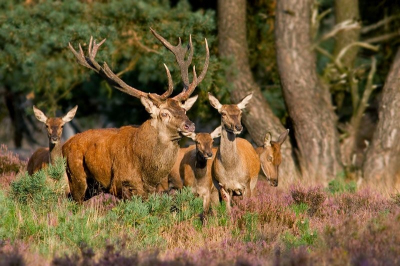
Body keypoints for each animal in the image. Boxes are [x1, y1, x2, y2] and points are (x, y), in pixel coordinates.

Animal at [63, 29, 209, 202]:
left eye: (184, 110)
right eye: (164, 113)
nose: (190, 125)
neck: (148, 174)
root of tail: (64, 146)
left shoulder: (153, 190)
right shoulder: (123, 185)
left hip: (92, 187)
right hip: (76, 177)